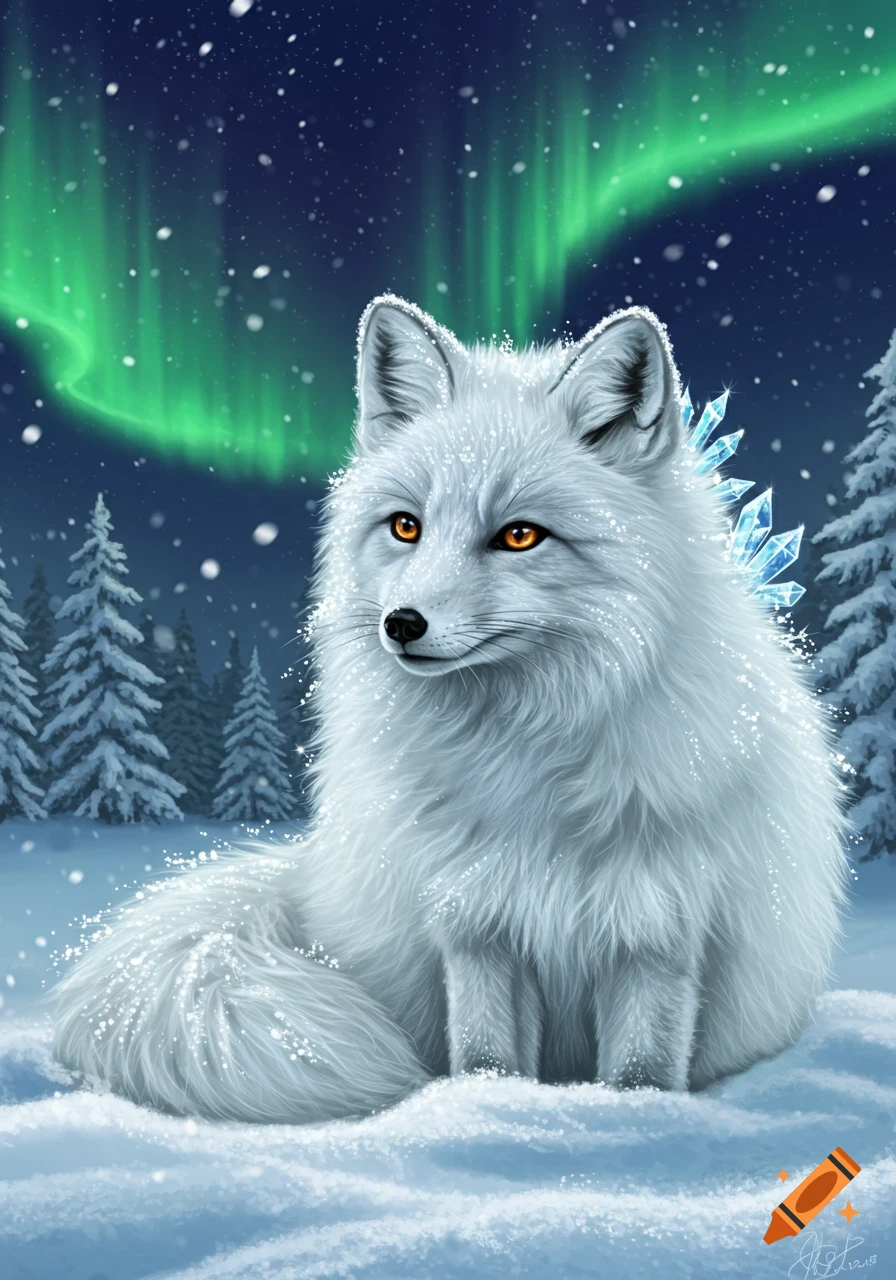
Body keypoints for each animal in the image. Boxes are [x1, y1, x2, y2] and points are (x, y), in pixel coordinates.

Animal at [51, 295, 850, 1124]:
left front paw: (630, 1121)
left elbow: (642, 1071)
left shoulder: (656, 930)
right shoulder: (474, 923)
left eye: (520, 535)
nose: (401, 624)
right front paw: (481, 1111)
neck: (527, 764)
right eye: (407, 526)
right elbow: (486, 1056)